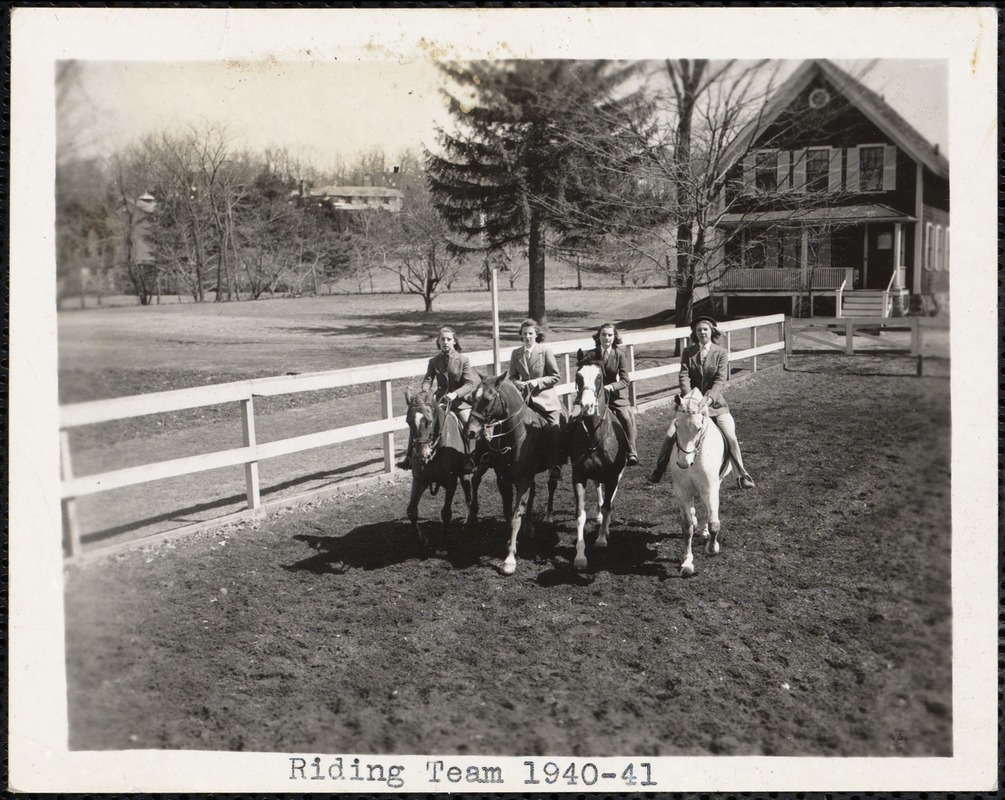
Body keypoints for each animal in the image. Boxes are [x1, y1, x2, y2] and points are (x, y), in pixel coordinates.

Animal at [402, 387, 476, 550]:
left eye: (429, 421)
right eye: (408, 422)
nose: (422, 455)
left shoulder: (451, 482)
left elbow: (446, 513)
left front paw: (444, 544)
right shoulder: (419, 481)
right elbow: (411, 511)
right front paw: (421, 539)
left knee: (469, 494)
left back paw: (469, 522)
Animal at [462, 375, 566, 574]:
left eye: (488, 398)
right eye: (471, 398)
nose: (470, 431)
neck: (517, 437)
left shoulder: (523, 481)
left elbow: (517, 515)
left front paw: (510, 559)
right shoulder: (504, 481)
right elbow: (508, 514)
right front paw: (512, 541)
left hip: (552, 467)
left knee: (551, 485)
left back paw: (548, 516)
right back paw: (528, 527)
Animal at [566, 353, 627, 566]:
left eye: (599, 377)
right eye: (578, 376)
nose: (587, 406)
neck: (594, 435)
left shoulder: (612, 475)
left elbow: (608, 505)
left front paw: (601, 539)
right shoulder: (579, 476)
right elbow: (580, 514)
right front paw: (580, 556)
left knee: (609, 498)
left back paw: (605, 528)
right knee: (599, 491)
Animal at [667, 387, 731, 574]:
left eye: (699, 428)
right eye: (676, 425)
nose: (683, 463)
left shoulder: (710, 489)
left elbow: (714, 522)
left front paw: (712, 548)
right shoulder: (682, 491)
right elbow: (687, 527)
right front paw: (687, 562)